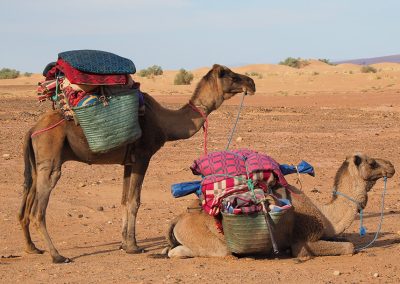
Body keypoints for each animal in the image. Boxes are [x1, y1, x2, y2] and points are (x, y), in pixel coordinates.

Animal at [18, 65, 255, 264]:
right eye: (229, 74)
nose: (251, 82)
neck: (164, 123)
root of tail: (33, 129)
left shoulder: (128, 162)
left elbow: (124, 200)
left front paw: (124, 243)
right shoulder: (143, 156)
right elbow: (135, 201)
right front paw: (133, 246)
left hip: (37, 163)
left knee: (27, 201)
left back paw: (32, 248)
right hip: (51, 158)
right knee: (38, 210)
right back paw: (57, 255)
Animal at [165, 154, 394, 258]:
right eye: (372, 162)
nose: (391, 166)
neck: (325, 215)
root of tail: (177, 220)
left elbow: (346, 240)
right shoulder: (302, 241)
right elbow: (349, 247)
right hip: (211, 242)